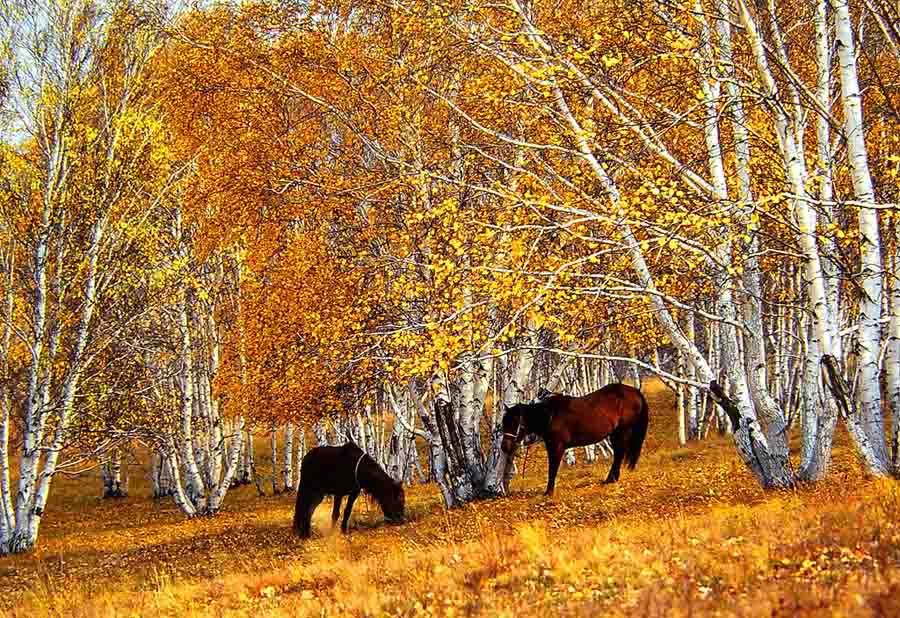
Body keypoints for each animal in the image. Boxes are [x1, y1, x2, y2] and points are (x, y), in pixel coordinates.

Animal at [502, 380, 652, 496]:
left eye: (515, 423)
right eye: (503, 423)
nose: (504, 446)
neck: (550, 415)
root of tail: (635, 392)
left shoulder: (557, 447)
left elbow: (553, 469)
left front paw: (549, 492)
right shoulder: (551, 447)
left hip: (623, 431)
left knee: (620, 453)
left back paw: (612, 479)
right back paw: (610, 479)